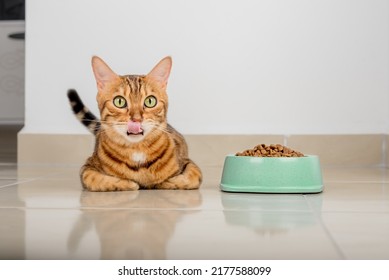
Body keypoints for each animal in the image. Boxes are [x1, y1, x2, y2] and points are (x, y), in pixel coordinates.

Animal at [67, 56, 202, 192]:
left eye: (150, 101)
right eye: (119, 101)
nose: (136, 119)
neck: (137, 150)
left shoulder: (188, 163)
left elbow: (192, 176)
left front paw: (167, 182)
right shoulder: (87, 167)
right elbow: (93, 179)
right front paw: (128, 183)